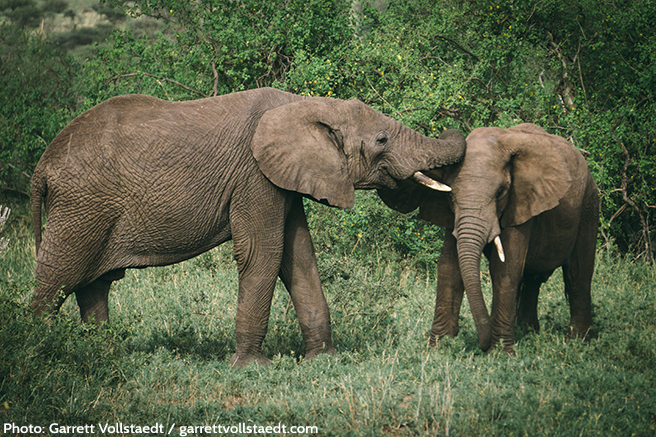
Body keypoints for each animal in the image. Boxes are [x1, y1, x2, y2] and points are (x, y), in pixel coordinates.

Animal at [29, 87, 462, 366]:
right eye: (382, 139)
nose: (455, 128)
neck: (306, 105)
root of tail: (41, 168)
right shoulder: (256, 177)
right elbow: (263, 254)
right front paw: (253, 366)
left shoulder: (284, 179)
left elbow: (299, 257)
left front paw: (323, 362)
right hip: (81, 208)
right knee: (57, 279)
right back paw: (40, 350)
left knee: (93, 286)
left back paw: (102, 352)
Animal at [380, 122, 600, 350]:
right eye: (450, 196)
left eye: (500, 193)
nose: (481, 344)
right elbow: (450, 267)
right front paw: (438, 348)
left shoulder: (521, 202)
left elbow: (506, 269)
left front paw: (501, 352)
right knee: (533, 279)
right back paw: (528, 333)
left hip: (589, 204)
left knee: (578, 274)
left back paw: (579, 342)